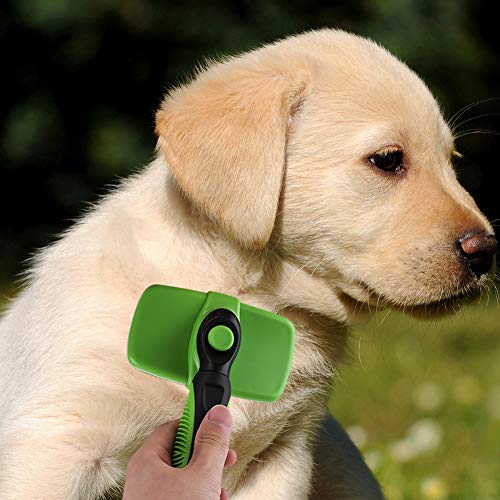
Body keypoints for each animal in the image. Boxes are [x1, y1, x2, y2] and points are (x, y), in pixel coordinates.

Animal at [0, 29, 494, 498]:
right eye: (388, 160)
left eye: (452, 161)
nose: (486, 251)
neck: (250, 296)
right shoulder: (56, 443)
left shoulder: (281, 456)